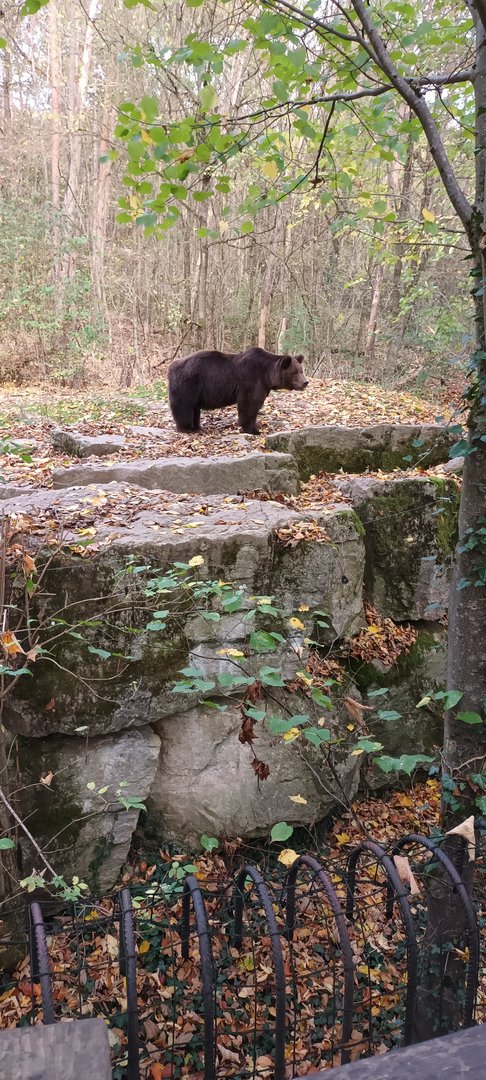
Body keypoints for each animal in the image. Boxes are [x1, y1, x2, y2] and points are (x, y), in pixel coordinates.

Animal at [168, 346, 308, 435]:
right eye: (294, 372)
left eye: (301, 371)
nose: (305, 382)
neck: (267, 374)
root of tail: (171, 366)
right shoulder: (251, 380)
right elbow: (249, 404)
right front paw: (253, 430)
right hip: (188, 383)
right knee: (185, 405)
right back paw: (187, 428)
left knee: (194, 408)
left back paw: (197, 427)